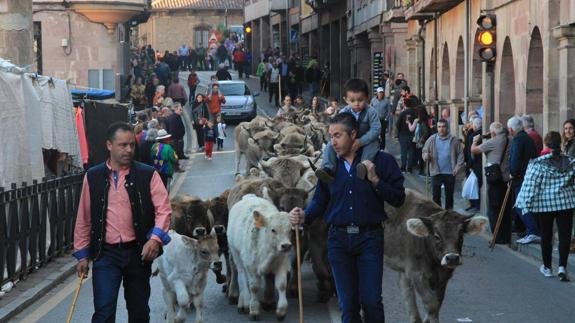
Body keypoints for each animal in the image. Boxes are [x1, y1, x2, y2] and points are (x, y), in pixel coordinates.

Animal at [384, 190, 488, 323]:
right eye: (437, 236)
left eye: (461, 235)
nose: (452, 258)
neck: (435, 264)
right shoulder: (417, 273)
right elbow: (432, 304)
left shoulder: (444, 276)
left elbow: (438, 303)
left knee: (405, 288)